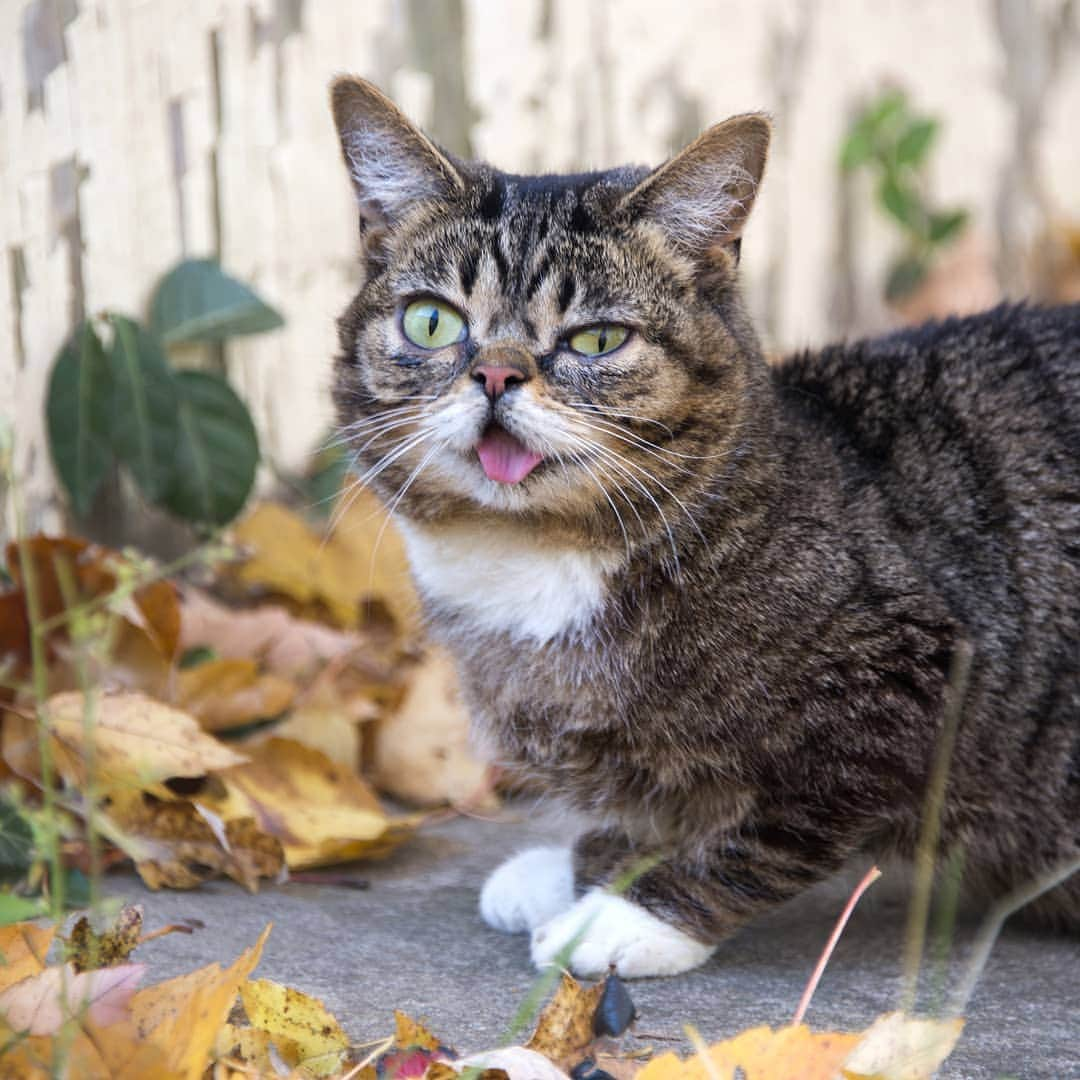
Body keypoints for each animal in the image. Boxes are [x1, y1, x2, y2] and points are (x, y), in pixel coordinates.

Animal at [328, 73, 1080, 972]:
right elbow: (655, 802)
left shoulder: (910, 687)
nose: (498, 374)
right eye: (432, 321)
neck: (530, 567)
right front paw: (583, 864)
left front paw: (629, 915)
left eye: (598, 338)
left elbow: (762, 834)